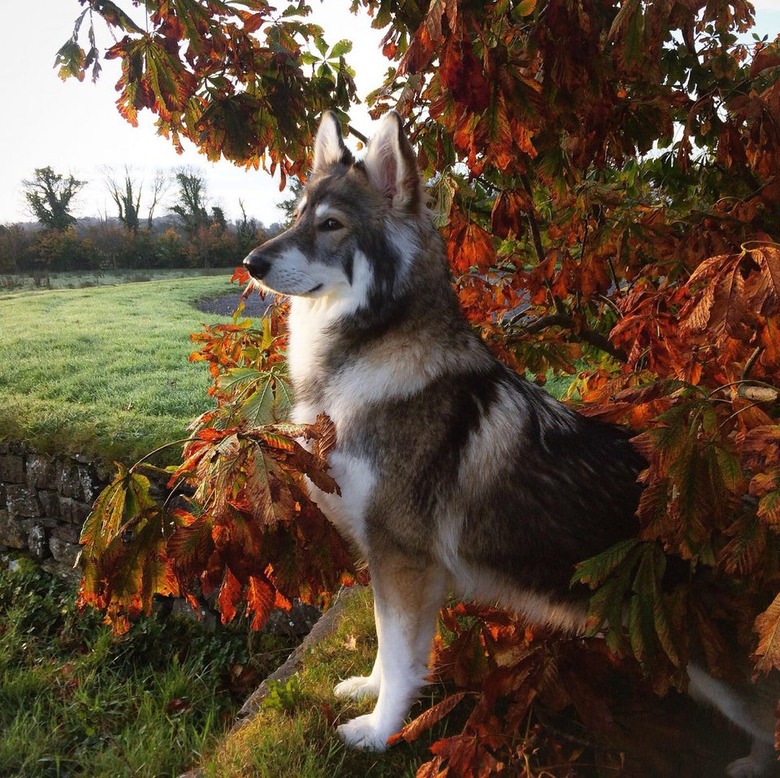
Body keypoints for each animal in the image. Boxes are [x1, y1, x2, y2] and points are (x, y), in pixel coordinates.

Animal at [245, 112, 780, 772]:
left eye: (330, 225)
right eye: (298, 216)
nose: (251, 263)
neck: (360, 360)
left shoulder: (404, 559)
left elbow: (400, 658)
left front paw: (378, 731)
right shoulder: (395, 563)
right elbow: (388, 648)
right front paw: (369, 693)